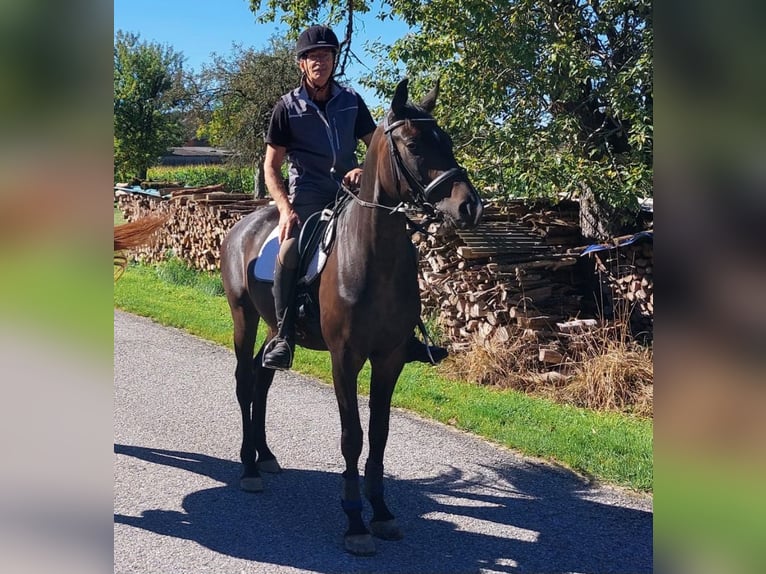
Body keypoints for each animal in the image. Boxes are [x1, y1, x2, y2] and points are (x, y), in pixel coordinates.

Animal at [220, 78, 483, 556]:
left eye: (449, 141)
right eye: (413, 145)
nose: (470, 207)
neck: (372, 257)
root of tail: (243, 226)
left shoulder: (390, 358)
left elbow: (378, 434)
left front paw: (381, 512)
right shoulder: (345, 358)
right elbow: (352, 436)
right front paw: (355, 521)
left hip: (274, 327)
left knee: (263, 379)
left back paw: (265, 455)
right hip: (243, 318)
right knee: (245, 382)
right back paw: (248, 466)